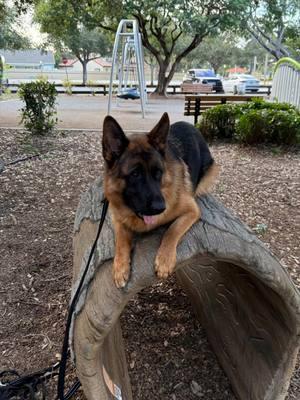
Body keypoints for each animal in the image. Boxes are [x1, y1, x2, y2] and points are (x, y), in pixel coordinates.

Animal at [101, 112, 218, 288]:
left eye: (158, 172)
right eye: (135, 174)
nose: (161, 208)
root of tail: (190, 125)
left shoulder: (192, 210)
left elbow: (172, 230)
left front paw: (164, 260)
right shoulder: (118, 218)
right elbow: (120, 241)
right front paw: (120, 267)